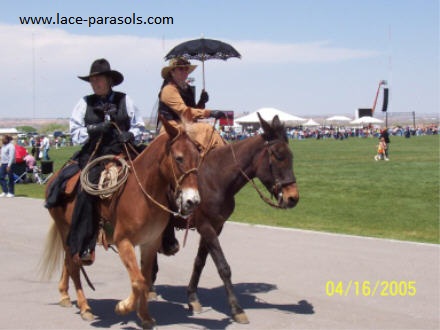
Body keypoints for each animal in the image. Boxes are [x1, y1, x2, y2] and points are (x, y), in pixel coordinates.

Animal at [39, 118, 201, 328]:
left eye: (198, 156)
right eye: (179, 158)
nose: (193, 201)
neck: (142, 194)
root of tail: (54, 177)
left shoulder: (150, 243)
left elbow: (144, 278)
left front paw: (145, 316)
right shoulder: (124, 242)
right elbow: (138, 281)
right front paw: (123, 307)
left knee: (69, 261)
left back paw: (65, 296)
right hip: (65, 229)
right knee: (74, 266)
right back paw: (85, 308)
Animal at [148, 113, 300, 322]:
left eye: (291, 156)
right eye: (277, 156)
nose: (293, 197)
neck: (216, 179)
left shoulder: (216, 226)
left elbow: (200, 262)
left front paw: (193, 298)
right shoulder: (206, 226)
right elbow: (223, 266)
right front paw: (236, 308)